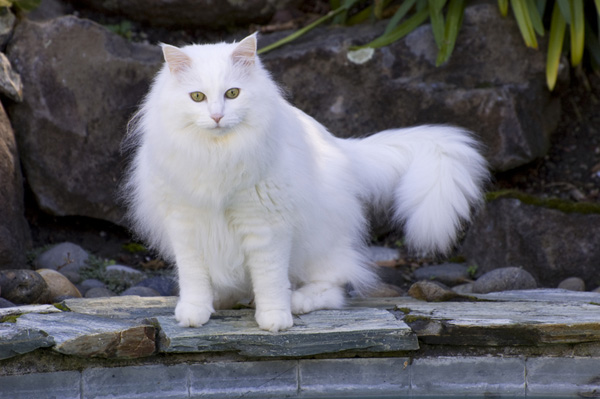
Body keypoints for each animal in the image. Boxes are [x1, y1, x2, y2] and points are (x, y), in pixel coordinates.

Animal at [122, 32, 488, 332]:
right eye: (197, 97)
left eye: (232, 93)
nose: (216, 116)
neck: (218, 154)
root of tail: (340, 147)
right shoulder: (185, 224)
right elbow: (194, 278)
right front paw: (195, 312)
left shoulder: (265, 225)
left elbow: (269, 279)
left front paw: (274, 319)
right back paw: (225, 299)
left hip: (318, 248)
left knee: (336, 287)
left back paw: (296, 302)